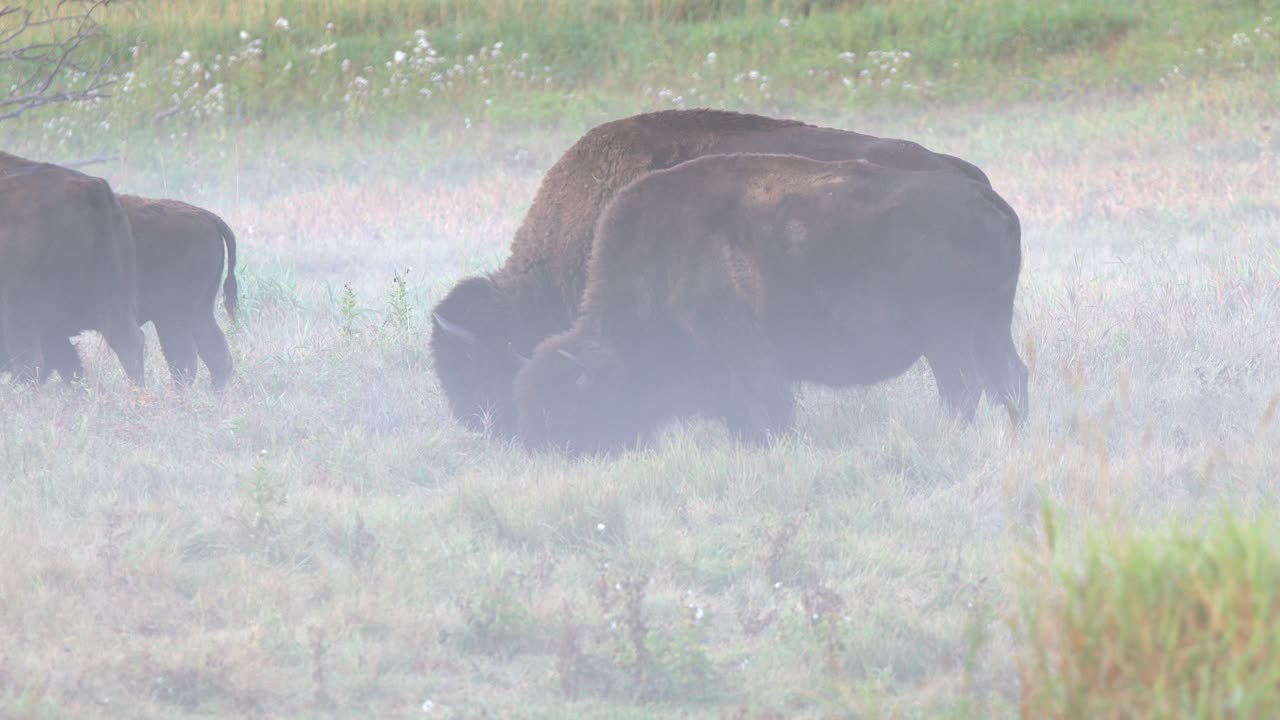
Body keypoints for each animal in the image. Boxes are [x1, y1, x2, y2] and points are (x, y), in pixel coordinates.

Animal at [513, 153, 1028, 455]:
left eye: (571, 407)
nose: (543, 449)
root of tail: (992, 202)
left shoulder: (743, 351)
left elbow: (767, 404)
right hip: (990, 326)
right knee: (1009, 378)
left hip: (948, 336)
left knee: (964, 388)